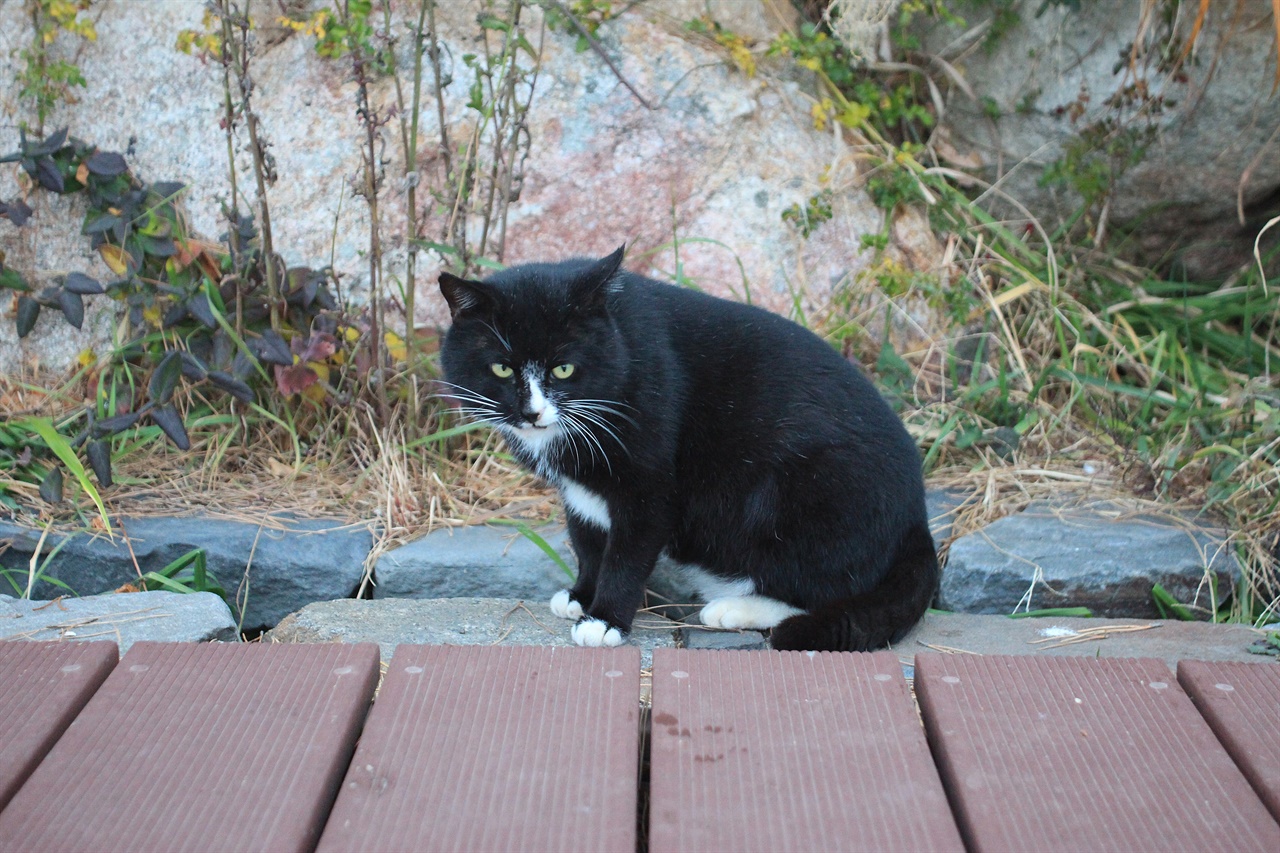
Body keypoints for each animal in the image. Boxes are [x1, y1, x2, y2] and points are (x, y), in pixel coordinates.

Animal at [440, 245, 942, 650]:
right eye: (502, 368)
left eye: (563, 369)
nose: (532, 413)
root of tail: (916, 520)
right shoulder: (580, 491)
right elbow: (588, 541)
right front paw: (582, 594)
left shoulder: (651, 485)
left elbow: (626, 553)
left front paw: (605, 620)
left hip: (806, 489)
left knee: (824, 587)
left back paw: (735, 608)